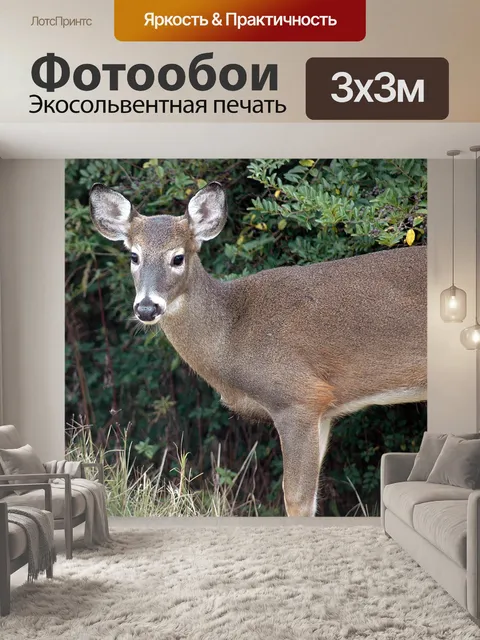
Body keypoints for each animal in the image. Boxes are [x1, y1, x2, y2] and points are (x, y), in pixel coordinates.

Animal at [89, 181, 427, 517]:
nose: (147, 308)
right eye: (134, 256)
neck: (233, 332)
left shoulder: (298, 397)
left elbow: (297, 499)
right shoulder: (323, 410)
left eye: (177, 257)